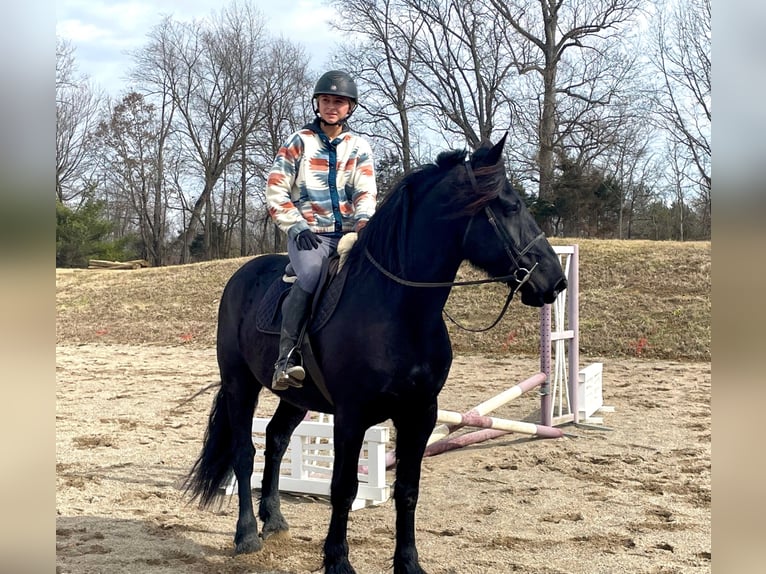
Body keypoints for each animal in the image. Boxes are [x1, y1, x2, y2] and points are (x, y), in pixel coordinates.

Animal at [187, 136, 568, 574]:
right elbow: (343, 488)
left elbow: (407, 489)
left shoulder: (421, 414)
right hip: (240, 383)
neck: (401, 309)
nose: (556, 281)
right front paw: (337, 561)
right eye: (510, 206)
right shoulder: (352, 415)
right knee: (244, 452)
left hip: (296, 397)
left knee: (277, 439)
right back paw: (247, 534)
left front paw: (408, 563)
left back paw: (275, 520)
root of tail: (241, 275)